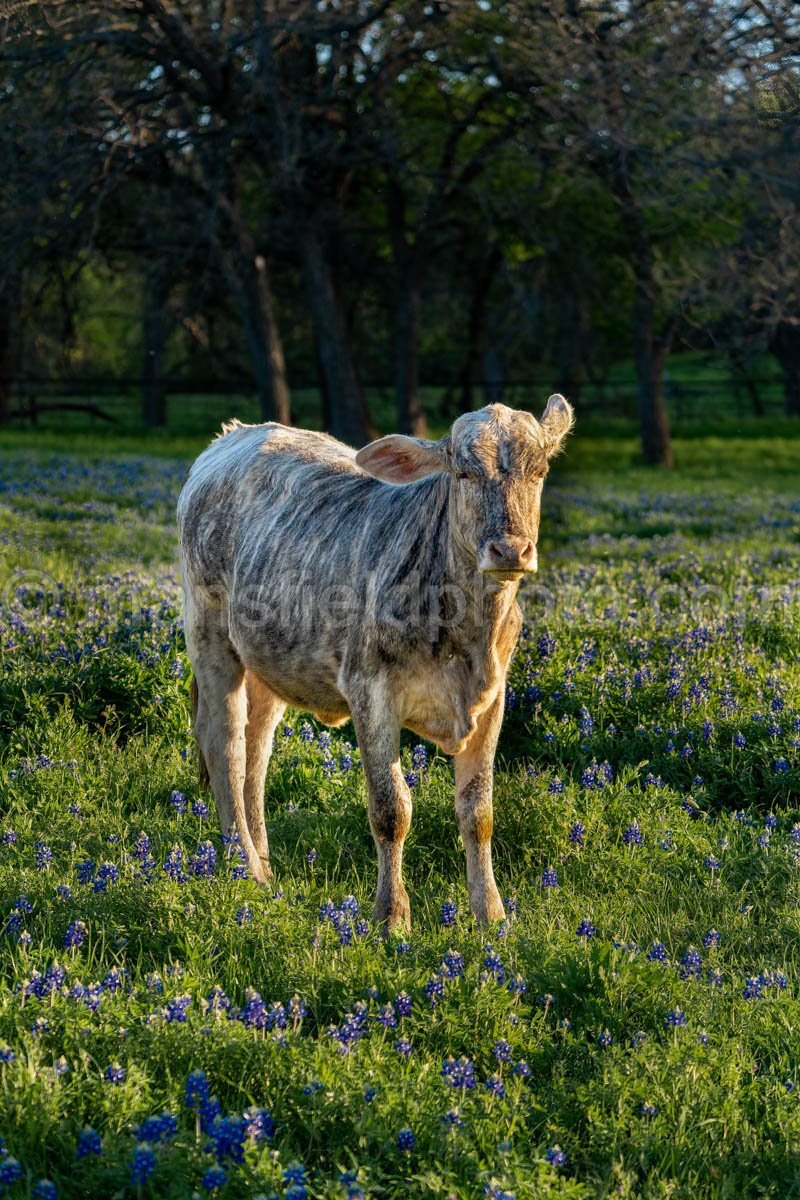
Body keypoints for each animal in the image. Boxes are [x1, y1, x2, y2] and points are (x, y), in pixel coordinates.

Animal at [177, 398, 573, 931]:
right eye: (465, 473)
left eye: (540, 471)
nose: (510, 549)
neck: (468, 634)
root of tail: (232, 436)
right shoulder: (372, 693)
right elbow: (391, 810)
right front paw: (391, 915)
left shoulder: (493, 701)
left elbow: (478, 812)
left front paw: (489, 912)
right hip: (210, 634)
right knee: (225, 747)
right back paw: (245, 869)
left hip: (270, 660)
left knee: (256, 753)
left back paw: (263, 863)